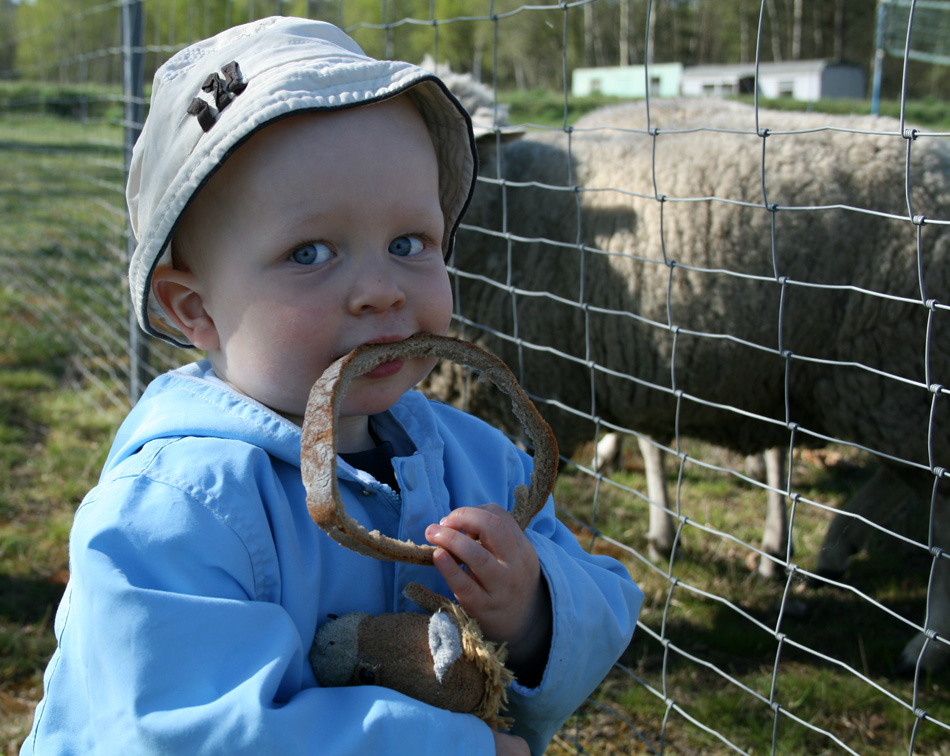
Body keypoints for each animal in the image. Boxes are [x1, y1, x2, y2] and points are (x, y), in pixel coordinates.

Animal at [432, 97, 950, 672]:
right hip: (880, 386)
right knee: (904, 481)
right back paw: (835, 550)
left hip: (905, 376)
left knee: (940, 515)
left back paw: (924, 645)